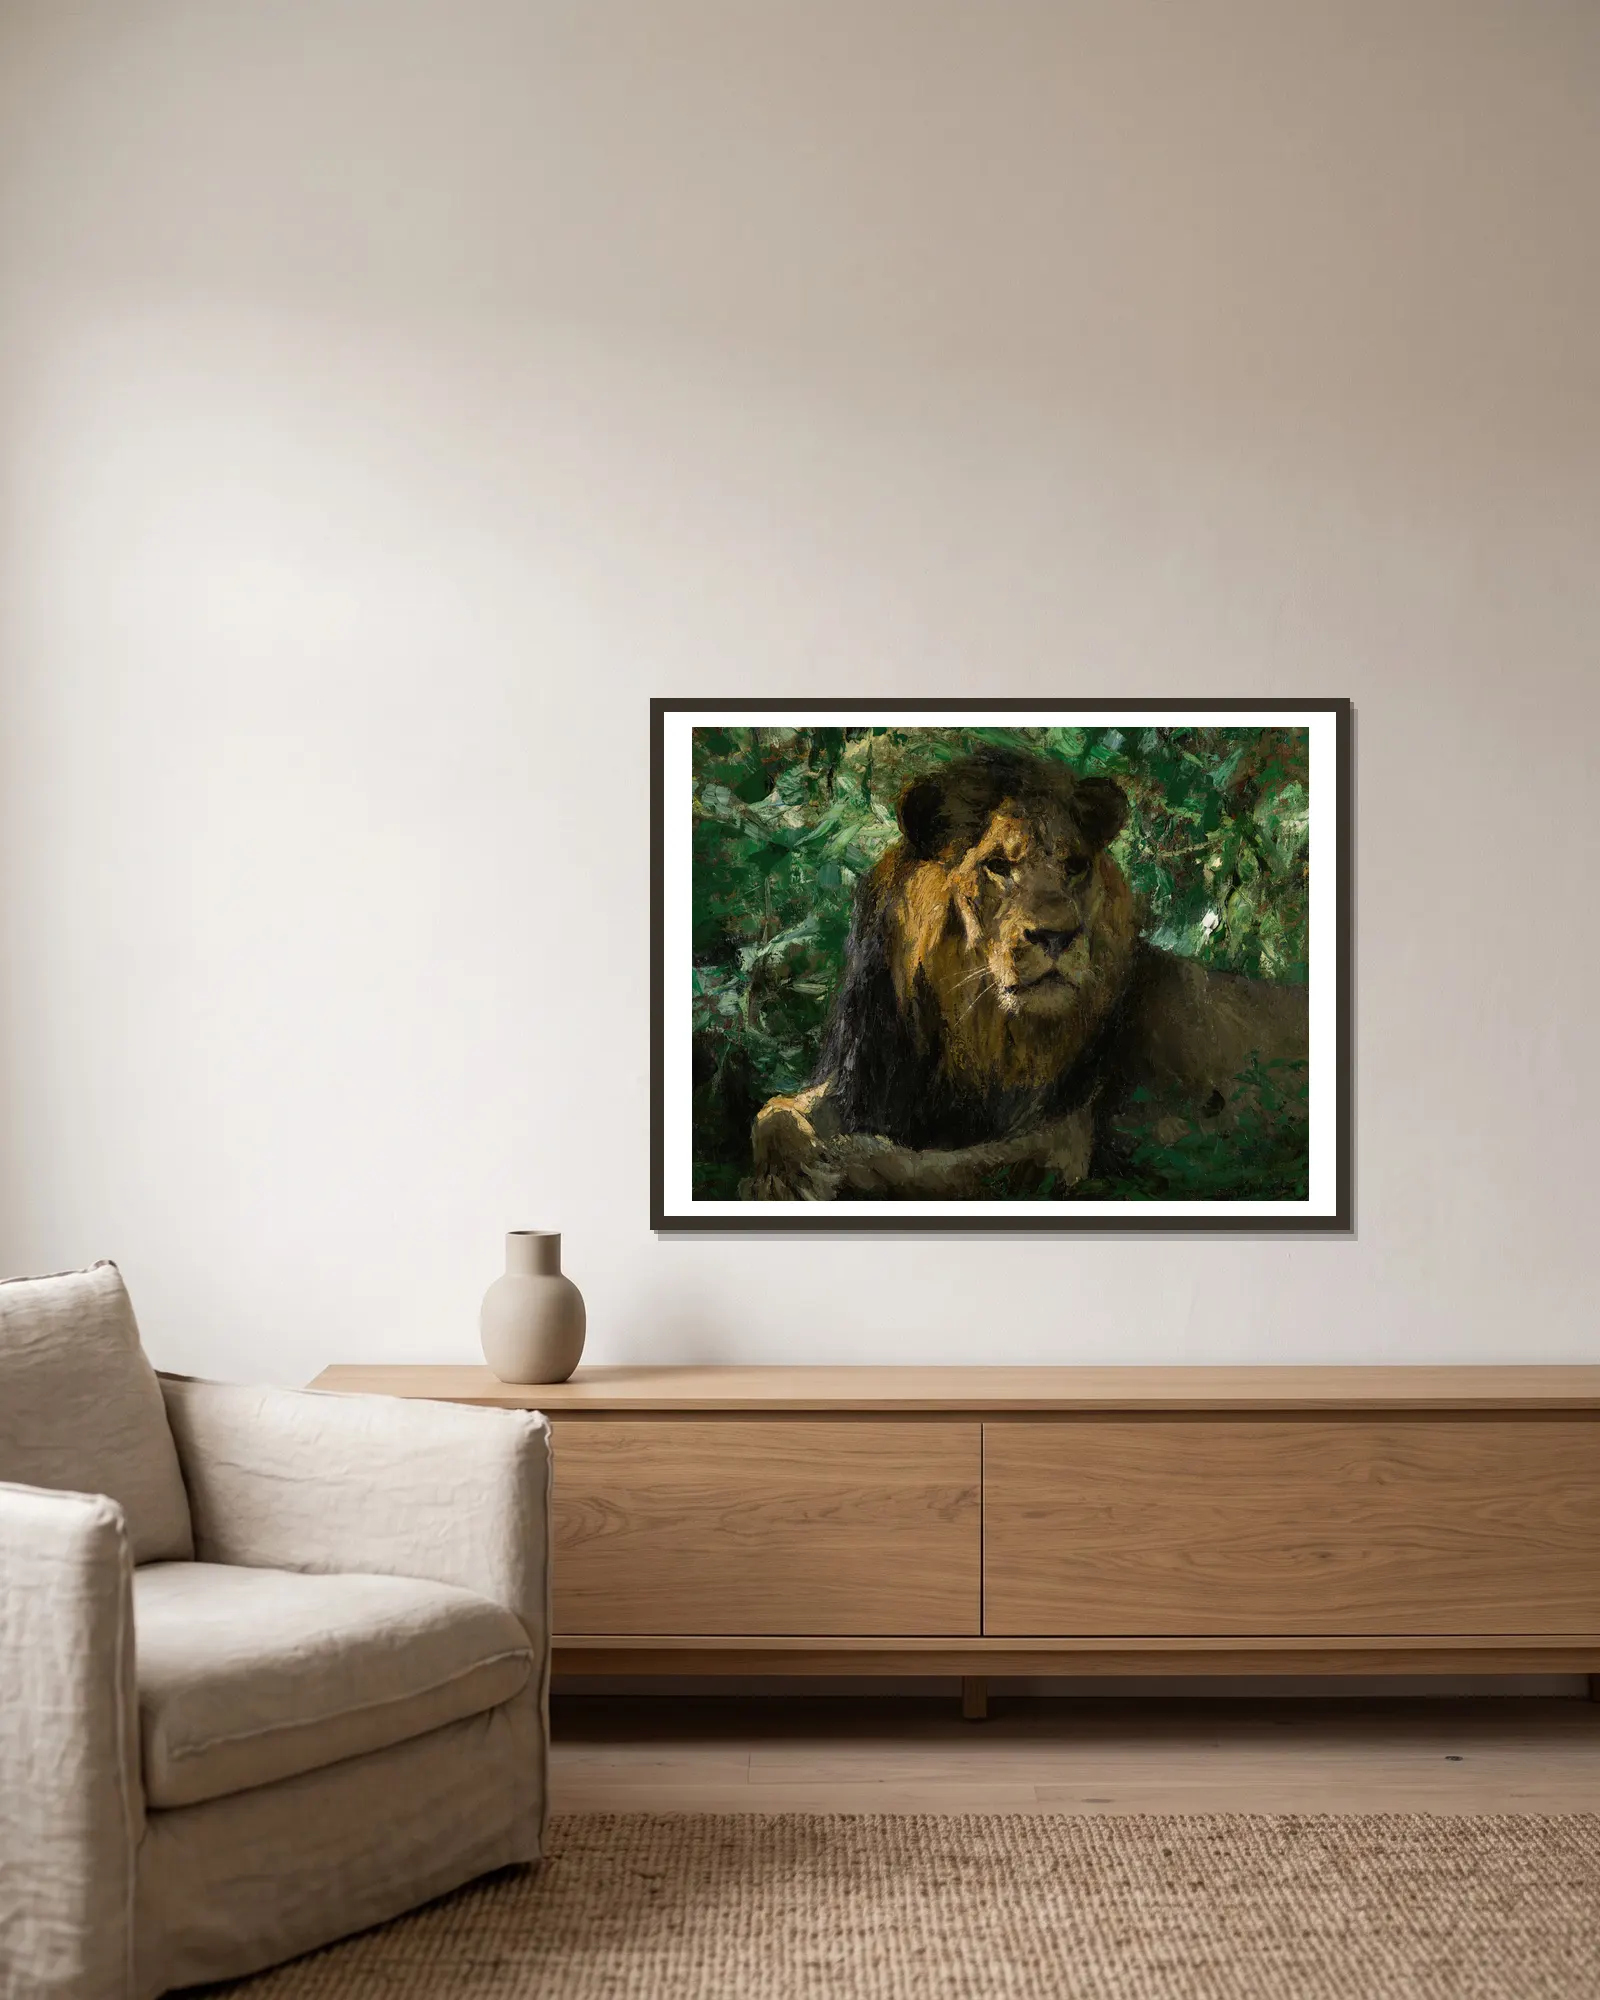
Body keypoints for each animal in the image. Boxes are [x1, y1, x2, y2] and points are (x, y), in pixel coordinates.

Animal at [746, 749, 1308, 1201]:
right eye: (997, 866)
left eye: (1075, 866)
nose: (1058, 936)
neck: (975, 1031)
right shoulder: (863, 1080)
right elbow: (773, 1111)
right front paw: (790, 1168)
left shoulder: (1060, 1138)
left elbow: (935, 1168)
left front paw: (838, 1164)